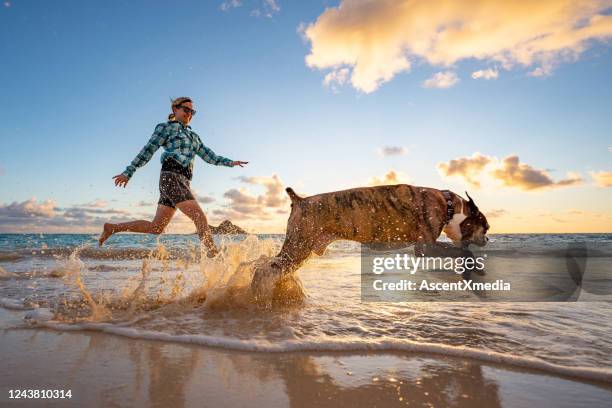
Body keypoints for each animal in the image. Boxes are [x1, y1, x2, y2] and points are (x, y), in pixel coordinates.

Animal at [251, 184, 490, 294]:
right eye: (486, 227)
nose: (488, 240)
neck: (449, 205)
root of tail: (300, 200)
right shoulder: (426, 247)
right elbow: (463, 251)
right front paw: (475, 268)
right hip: (298, 247)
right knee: (264, 269)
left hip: (300, 252)